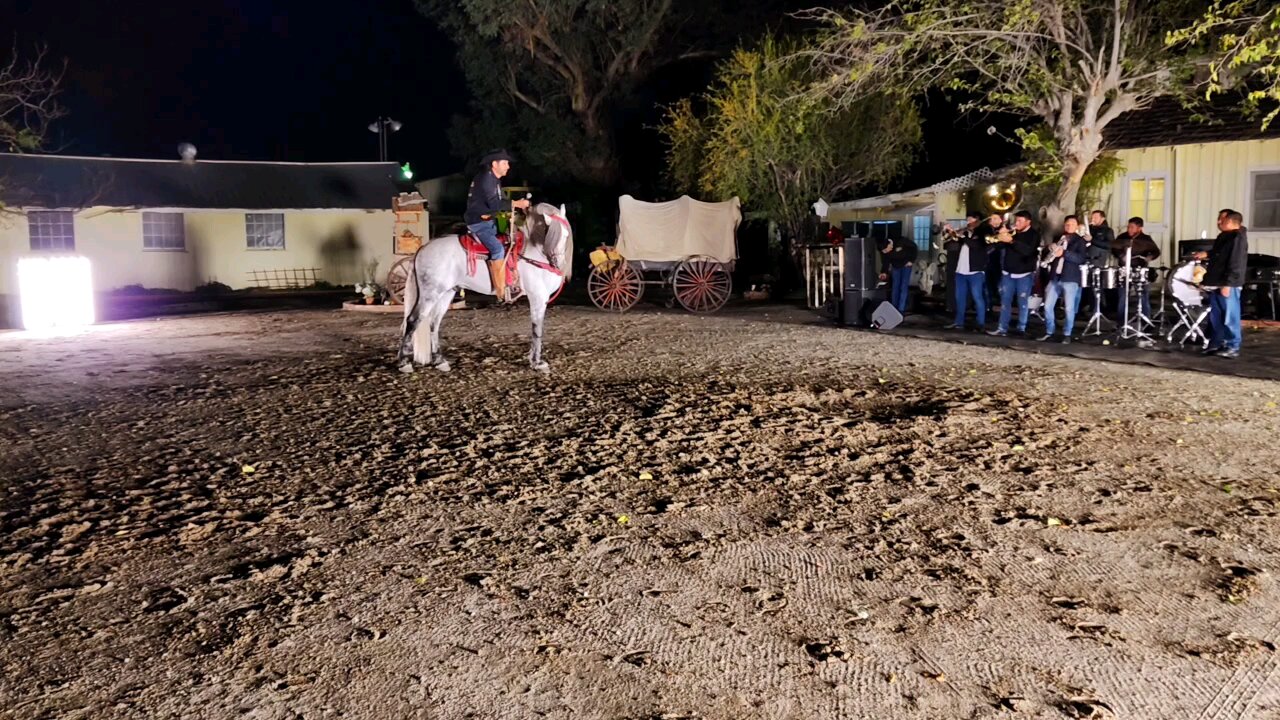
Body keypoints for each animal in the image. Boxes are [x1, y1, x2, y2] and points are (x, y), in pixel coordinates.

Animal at [389, 199, 570, 371]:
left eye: (566, 235)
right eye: (550, 234)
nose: (557, 263)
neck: (534, 253)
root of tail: (422, 249)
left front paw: (533, 359)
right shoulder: (537, 297)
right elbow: (537, 329)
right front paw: (537, 362)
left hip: (446, 293)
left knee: (434, 322)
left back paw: (440, 361)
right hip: (429, 294)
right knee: (413, 320)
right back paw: (404, 363)